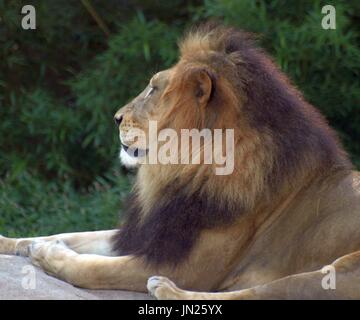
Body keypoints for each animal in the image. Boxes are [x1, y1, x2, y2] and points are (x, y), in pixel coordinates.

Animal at [0, 25, 360, 300]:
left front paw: (47, 253)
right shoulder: (154, 234)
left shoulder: (185, 265)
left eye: (153, 89)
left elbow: (92, 268)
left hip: (333, 273)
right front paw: (21, 242)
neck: (186, 173)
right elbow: (73, 234)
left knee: (253, 295)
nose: (115, 118)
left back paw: (166, 289)